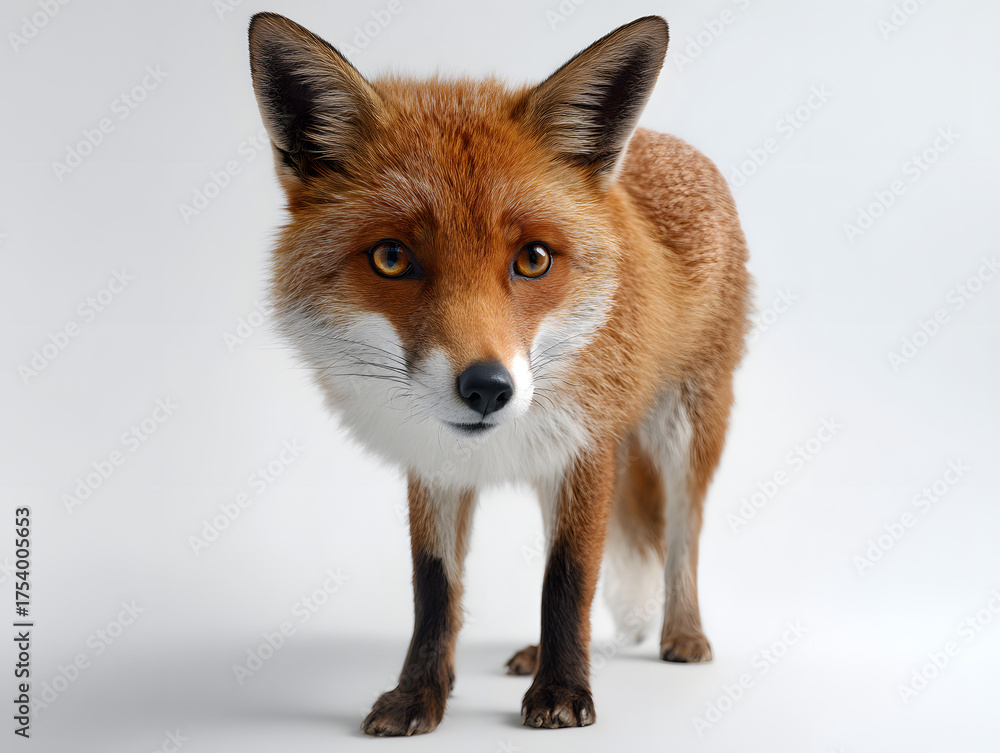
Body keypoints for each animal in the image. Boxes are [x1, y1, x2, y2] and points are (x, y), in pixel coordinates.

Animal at [247, 11, 751, 735]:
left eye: (534, 259)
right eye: (392, 257)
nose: (487, 387)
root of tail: (665, 142)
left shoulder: (587, 447)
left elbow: (568, 577)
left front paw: (563, 692)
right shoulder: (433, 464)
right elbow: (438, 590)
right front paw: (421, 694)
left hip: (686, 427)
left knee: (683, 539)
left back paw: (682, 636)